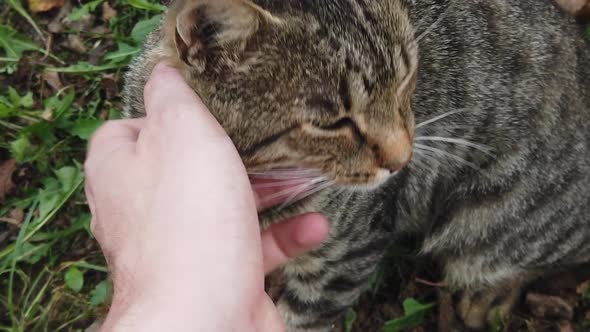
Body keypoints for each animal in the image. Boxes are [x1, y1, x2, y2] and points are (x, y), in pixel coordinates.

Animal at [121, 0, 590, 330]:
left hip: (486, 224)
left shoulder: (345, 259)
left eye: (407, 76)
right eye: (333, 123)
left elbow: (301, 319)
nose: (403, 159)